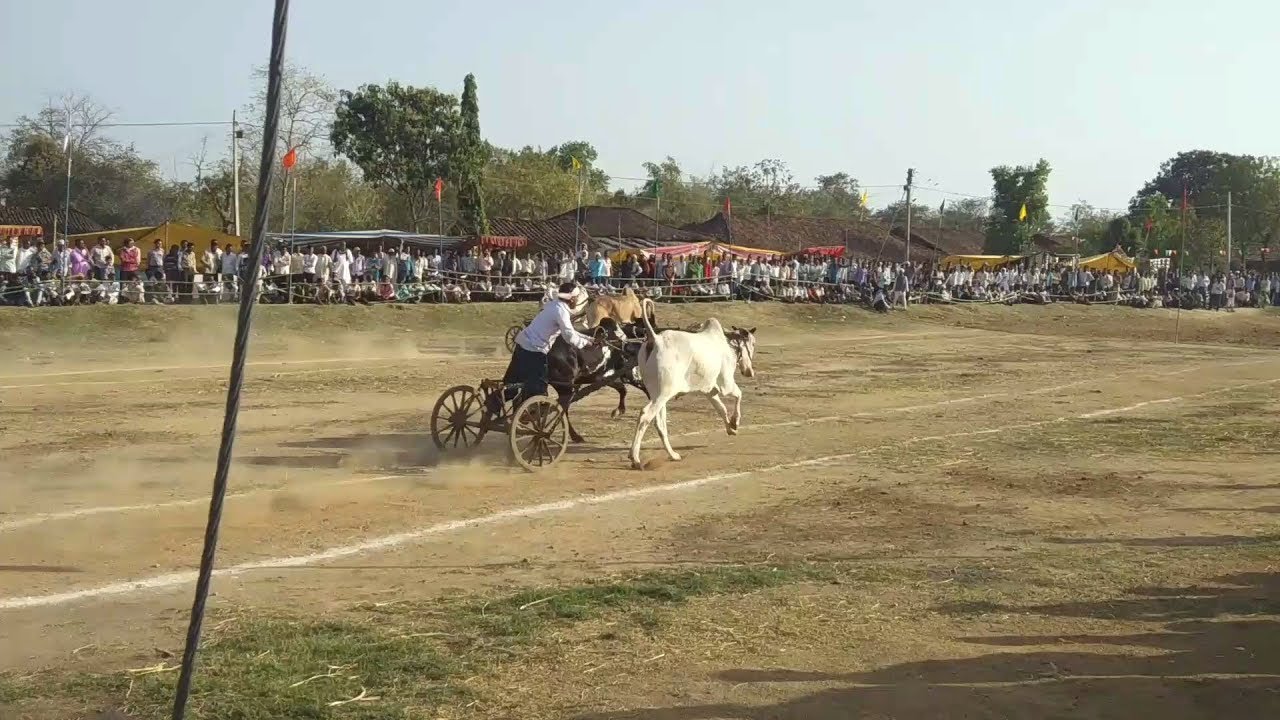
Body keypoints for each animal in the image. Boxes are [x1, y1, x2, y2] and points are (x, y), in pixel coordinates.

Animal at [627, 295, 752, 468]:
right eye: (751, 344)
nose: (749, 372)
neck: (727, 344)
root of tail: (655, 339)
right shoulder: (725, 384)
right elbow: (739, 394)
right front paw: (735, 422)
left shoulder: (709, 390)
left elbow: (721, 409)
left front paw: (731, 428)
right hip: (663, 393)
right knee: (645, 416)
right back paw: (635, 458)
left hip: (657, 395)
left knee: (660, 425)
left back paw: (673, 455)